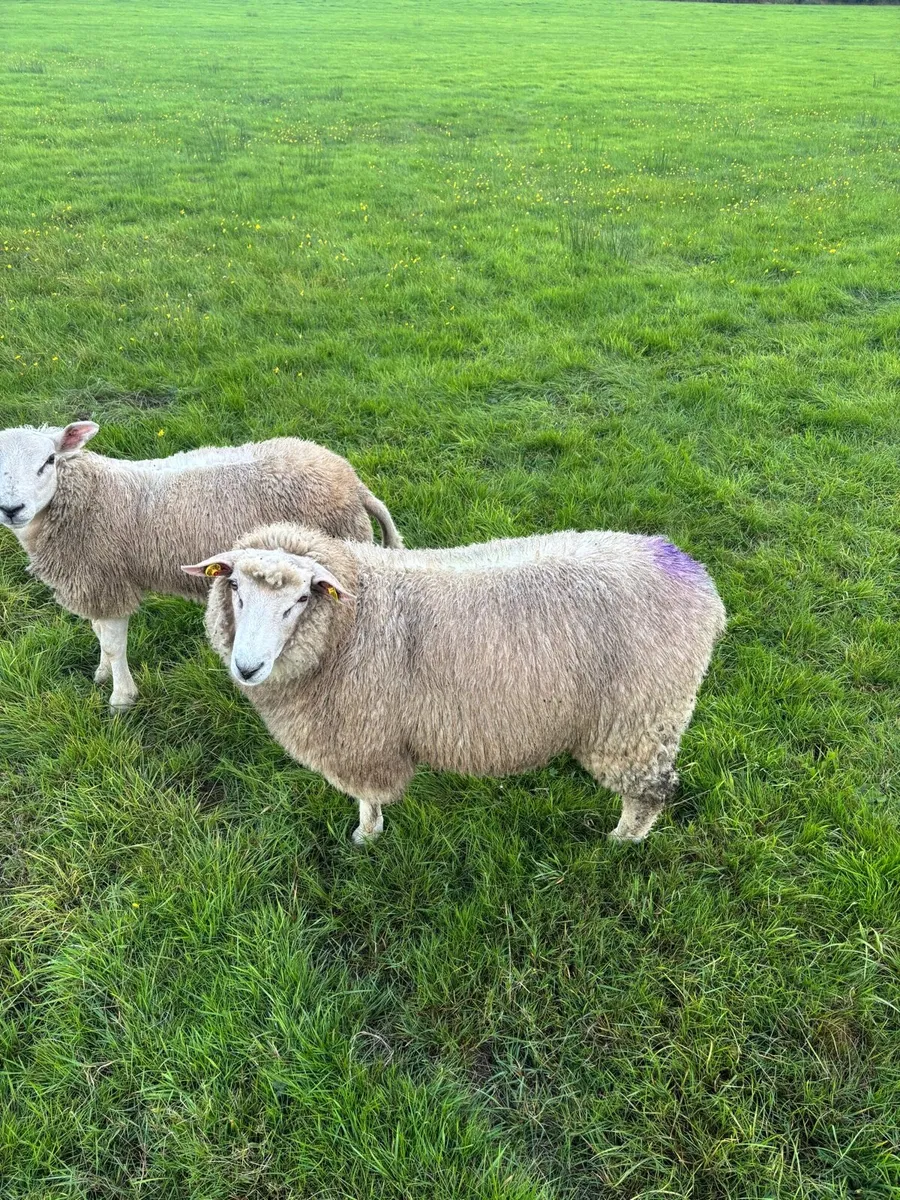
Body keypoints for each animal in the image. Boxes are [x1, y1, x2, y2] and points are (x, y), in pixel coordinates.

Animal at [0, 422, 403, 711]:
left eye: (49, 461)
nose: (11, 509)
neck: (89, 496)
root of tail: (352, 482)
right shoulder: (93, 581)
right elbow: (99, 632)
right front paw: (102, 673)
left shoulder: (107, 580)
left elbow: (114, 644)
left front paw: (121, 699)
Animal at [184, 521, 726, 844]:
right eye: (234, 588)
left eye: (300, 600)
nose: (246, 667)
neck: (353, 617)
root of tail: (694, 575)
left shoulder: (364, 740)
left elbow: (368, 798)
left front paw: (366, 836)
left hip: (638, 721)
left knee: (652, 792)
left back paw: (620, 843)